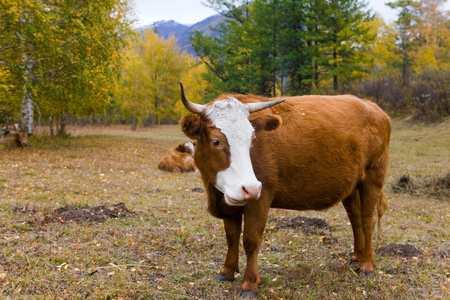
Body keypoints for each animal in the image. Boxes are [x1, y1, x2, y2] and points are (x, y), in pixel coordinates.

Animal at [178, 82, 390, 298]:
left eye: (252, 140)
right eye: (216, 141)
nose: (250, 188)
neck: (216, 193)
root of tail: (373, 107)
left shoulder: (261, 198)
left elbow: (251, 241)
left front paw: (249, 284)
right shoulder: (229, 202)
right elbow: (231, 237)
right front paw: (227, 271)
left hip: (373, 176)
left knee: (367, 219)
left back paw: (367, 265)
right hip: (352, 186)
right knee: (355, 218)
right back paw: (356, 256)